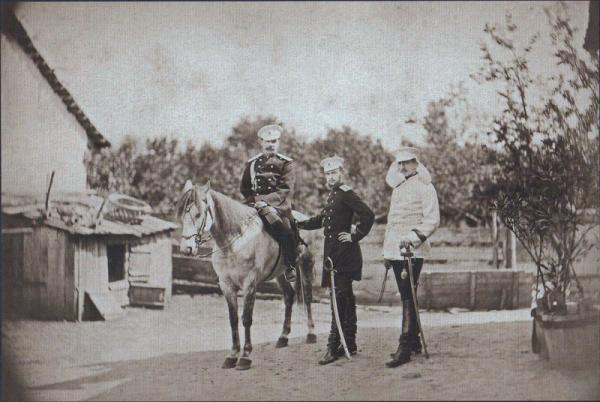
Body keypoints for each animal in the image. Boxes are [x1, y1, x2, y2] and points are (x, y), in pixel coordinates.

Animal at [177, 180, 318, 370]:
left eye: (198, 214)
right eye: (182, 215)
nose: (186, 249)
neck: (235, 242)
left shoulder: (250, 285)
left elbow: (246, 319)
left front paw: (245, 356)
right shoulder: (227, 286)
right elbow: (233, 320)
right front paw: (232, 356)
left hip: (306, 265)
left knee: (308, 298)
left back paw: (311, 334)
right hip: (280, 274)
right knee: (289, 296)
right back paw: (283, 337)